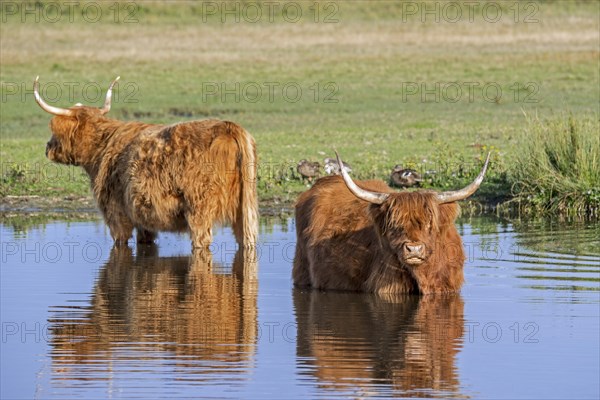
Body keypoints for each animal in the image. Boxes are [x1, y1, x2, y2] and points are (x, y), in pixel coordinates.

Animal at [34, 76, 256, 248]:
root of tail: (228, 127)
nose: (47, 148)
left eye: (54, 132)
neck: (101, 147)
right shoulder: (143, 219)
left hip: (199, 209)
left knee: (202, 240)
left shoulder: (116, 213)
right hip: (246, 209)